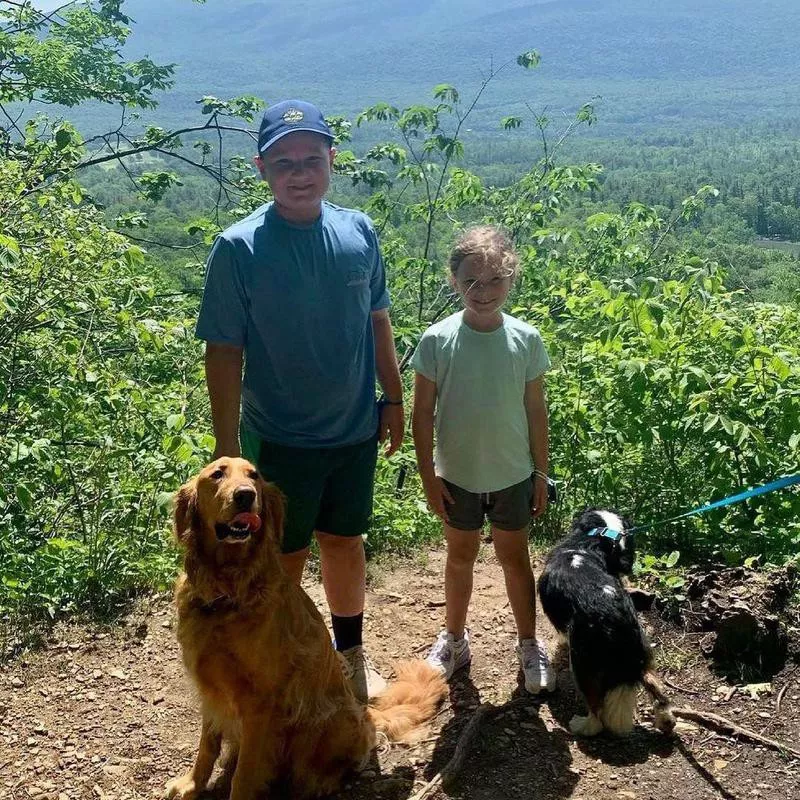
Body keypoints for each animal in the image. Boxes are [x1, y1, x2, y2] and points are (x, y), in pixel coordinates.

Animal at [536, 510, 676, 736]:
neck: (591, 543)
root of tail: (616, 616)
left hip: (583, 664)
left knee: (596, 711)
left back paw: (581, 726)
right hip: (642, 652)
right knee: (655, 688)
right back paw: (666, 721)